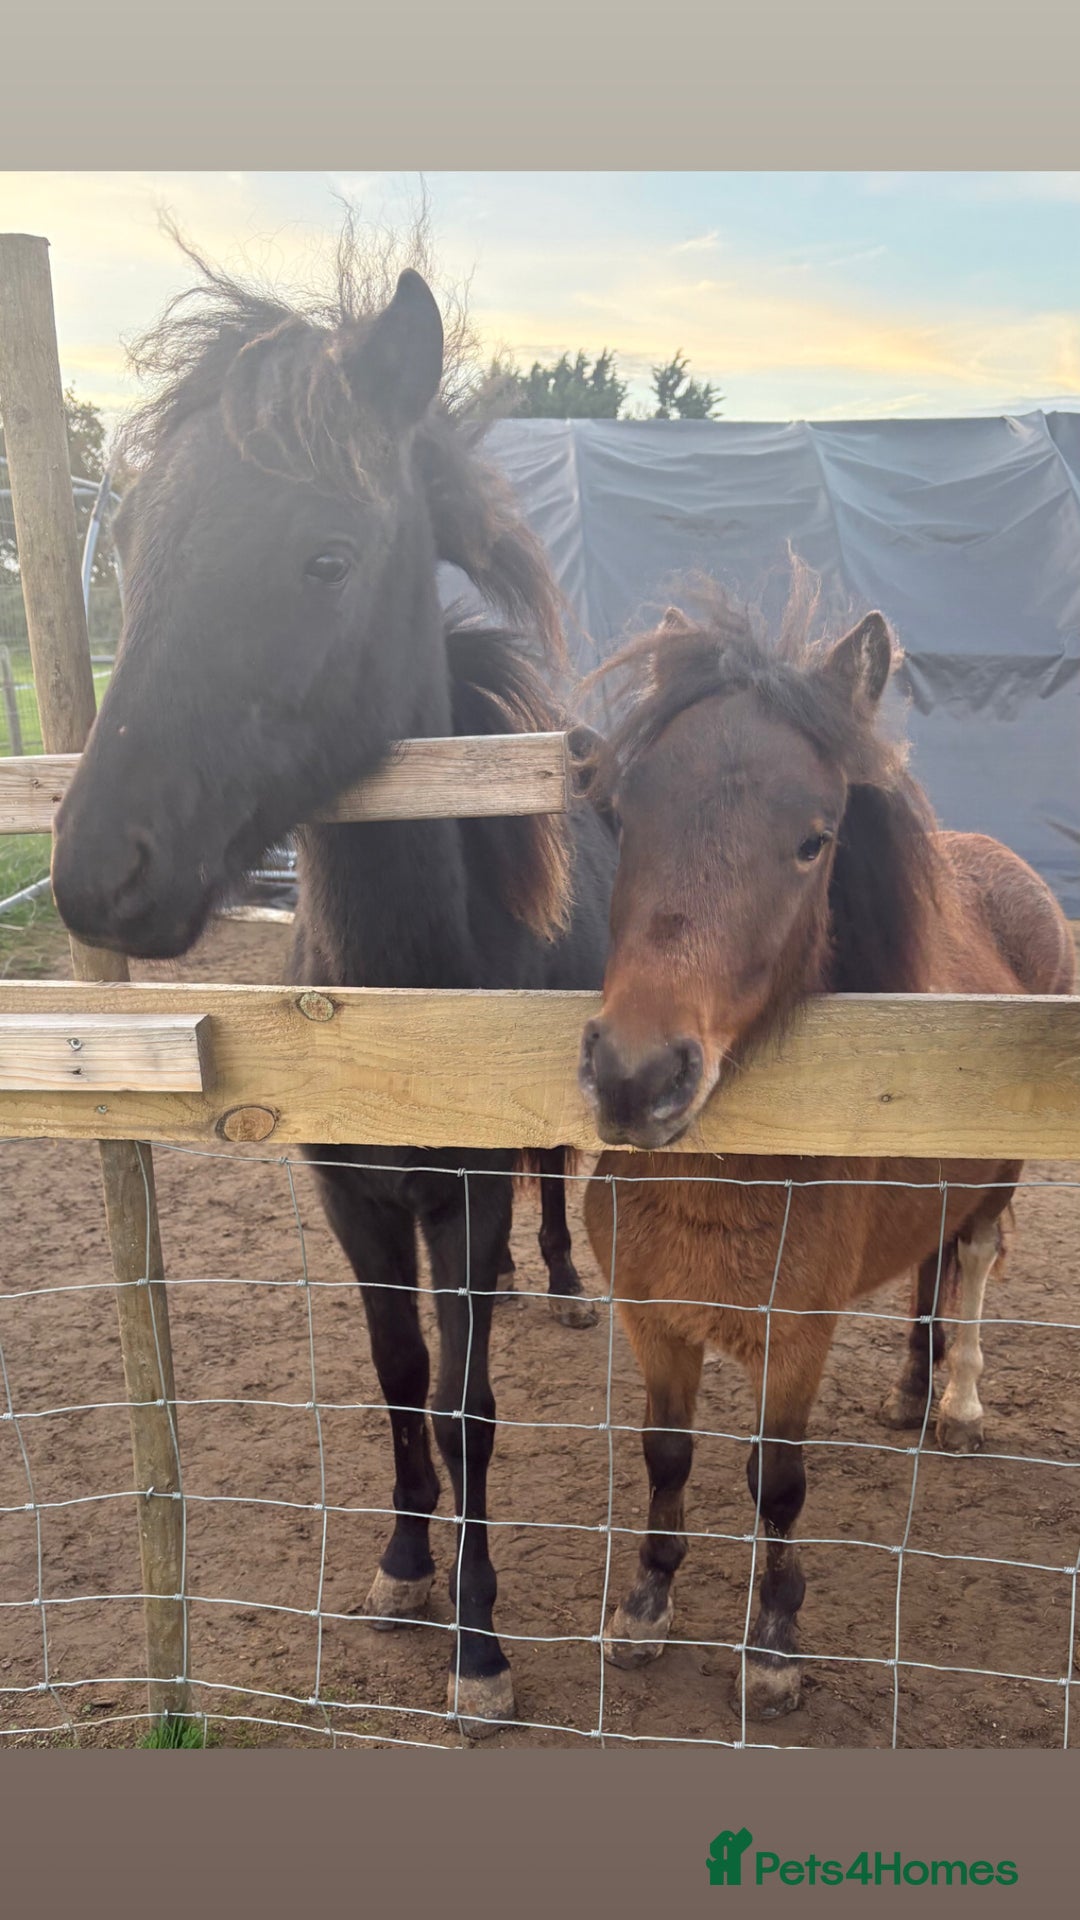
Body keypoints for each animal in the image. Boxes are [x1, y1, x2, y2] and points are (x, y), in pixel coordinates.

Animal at [50, 246, 617, 1735]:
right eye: (139, 551)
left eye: (327, 556)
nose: (97, 872)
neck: (396, 1000)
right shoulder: (350, 1198)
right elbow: (401, 1373)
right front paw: (405, 1563)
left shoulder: (460, 1197)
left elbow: (471, 1405)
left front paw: (479, 1645)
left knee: (555, 1180)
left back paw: (564, 1279)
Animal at [576, 588, 1076, 1723]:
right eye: (621, 818)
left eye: (813, 842)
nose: (634, 1076)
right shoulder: (652, 1318)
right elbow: (666, 1454)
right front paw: (645, 1607)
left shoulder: (793, 1338)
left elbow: (777, 1480)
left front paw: (772, 1643)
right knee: (933, 1265)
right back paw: (910, 1390)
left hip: (1003, 1171)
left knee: (975, 1258)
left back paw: (960, 1402)